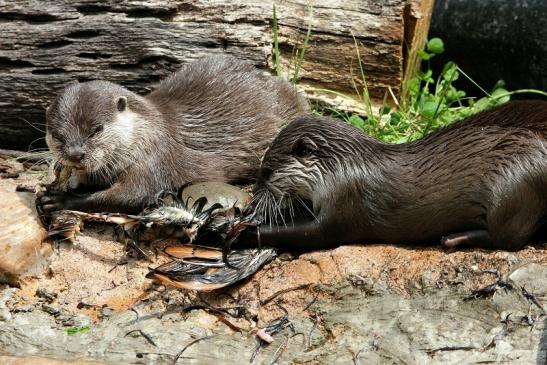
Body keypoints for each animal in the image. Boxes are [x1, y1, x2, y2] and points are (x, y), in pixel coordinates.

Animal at [39, 55, 308, 212]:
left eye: (97, 129)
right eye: (57, 136)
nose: (75, 154)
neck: (145, 134)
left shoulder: (155, 162)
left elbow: (128, 196)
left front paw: (60, 200)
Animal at [250, 99, 547, 250]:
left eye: (266, 172)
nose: (253, 194)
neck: (341, 169)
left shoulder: (345, 204)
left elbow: (316, 234)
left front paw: (245, 233)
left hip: (512, 188)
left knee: (508, 238)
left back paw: (454, 238)